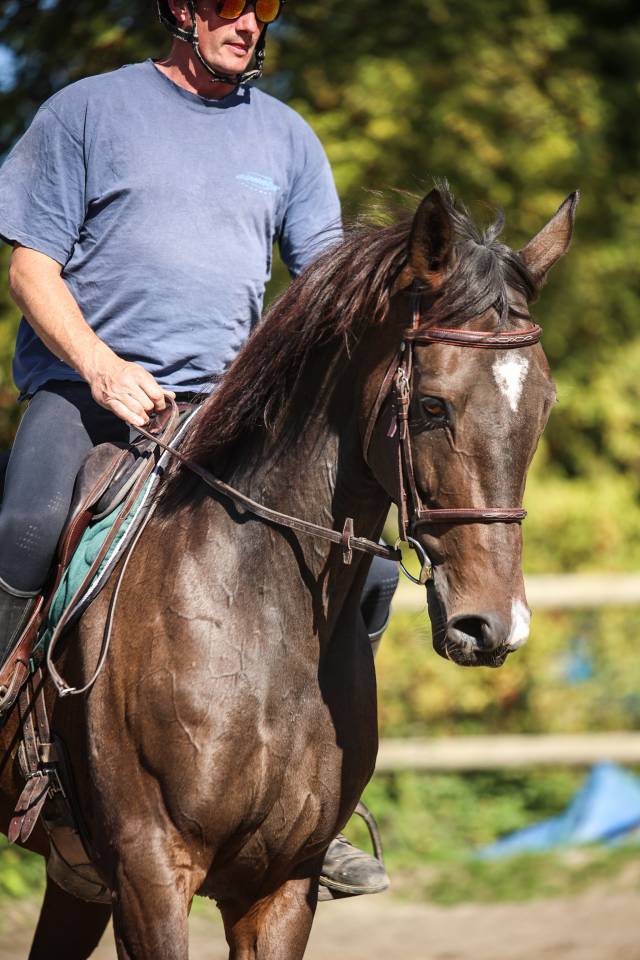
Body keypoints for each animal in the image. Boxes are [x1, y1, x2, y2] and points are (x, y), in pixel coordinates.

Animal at [0, 185, 576, 959]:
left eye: (542, 406)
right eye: (432, 406)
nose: (494, 627)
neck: (257, 612)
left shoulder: (279, 887)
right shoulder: (150, 873)